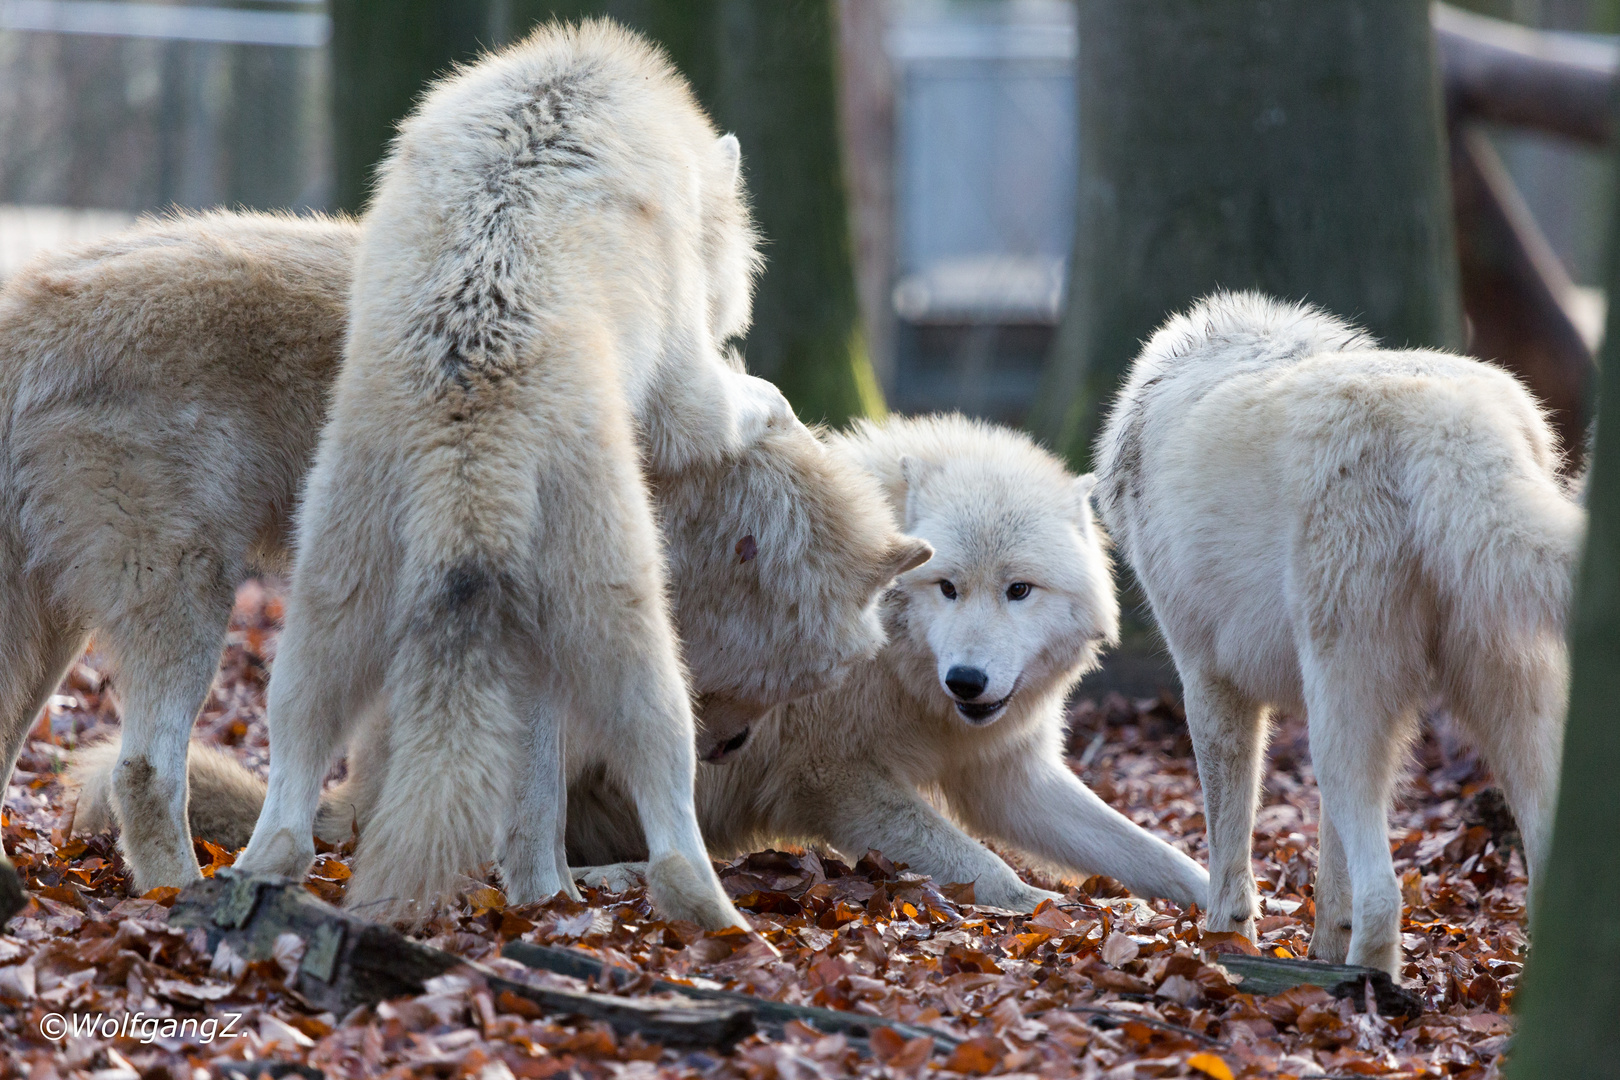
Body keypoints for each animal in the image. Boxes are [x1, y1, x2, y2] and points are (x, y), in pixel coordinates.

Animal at [1088, 291, 1581, 977]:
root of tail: (1454, 424)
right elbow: (1330, 869)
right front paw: (1318, 948)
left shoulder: (1209, 683)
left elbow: (1228, 848)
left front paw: (1223, 946)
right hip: (1500, 710)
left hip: (1343, 719)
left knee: (1384, 895)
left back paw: (1366, 983)